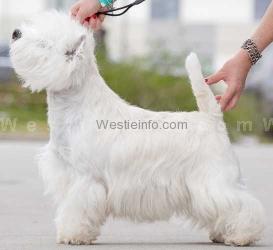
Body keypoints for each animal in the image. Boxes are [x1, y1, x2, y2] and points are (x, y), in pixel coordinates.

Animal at [10, 11, 264, 246]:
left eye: (43, 43)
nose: (14, 33)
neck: (77, 105)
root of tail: (211, 118)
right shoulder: (66, 173)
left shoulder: (86, 178)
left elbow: (77, 208)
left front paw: (74, 235)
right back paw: (221, 234)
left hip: (213, 179)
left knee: (240, 205)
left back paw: (242, 236)